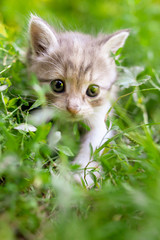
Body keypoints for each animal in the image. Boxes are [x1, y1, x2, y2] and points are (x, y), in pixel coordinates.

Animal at [26, 15, 129, 187]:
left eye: (93, 90)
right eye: (58, 85)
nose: (73, 108)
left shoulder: (100, 120)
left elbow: (92, 147)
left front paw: (82, 175)